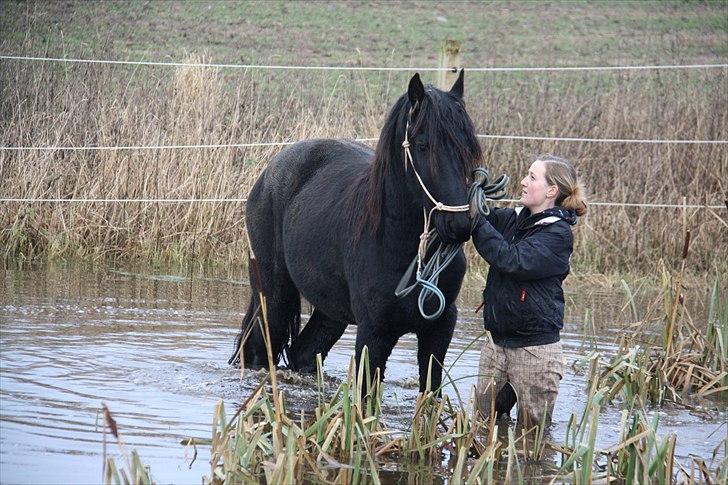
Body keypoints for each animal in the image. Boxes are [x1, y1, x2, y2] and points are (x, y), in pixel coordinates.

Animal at [230, 70, 480, 392]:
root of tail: (270, 171)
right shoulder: (374, 332)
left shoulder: (439, 329)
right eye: (423, 145)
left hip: (331, 311)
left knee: (304, 352)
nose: (459, 225)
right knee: (260, 350)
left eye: (469, 149)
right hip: (272, 297)